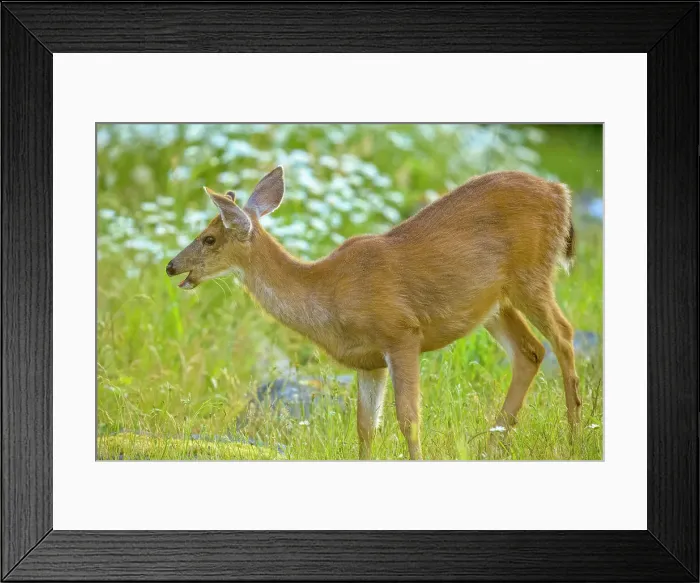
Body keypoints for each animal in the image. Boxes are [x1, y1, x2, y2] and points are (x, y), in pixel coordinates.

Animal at [166, 166, 581, 460]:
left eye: (209, 238)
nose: (171, 266)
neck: (328, 293)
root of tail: (561, 191)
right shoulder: (369, 362)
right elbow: (366, 428)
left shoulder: (402, 333)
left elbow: (409, 419)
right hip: (494, 303)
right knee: (531, 351)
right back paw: (491, 447)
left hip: (531, 275)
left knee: (563, 334)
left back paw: (575, 435)